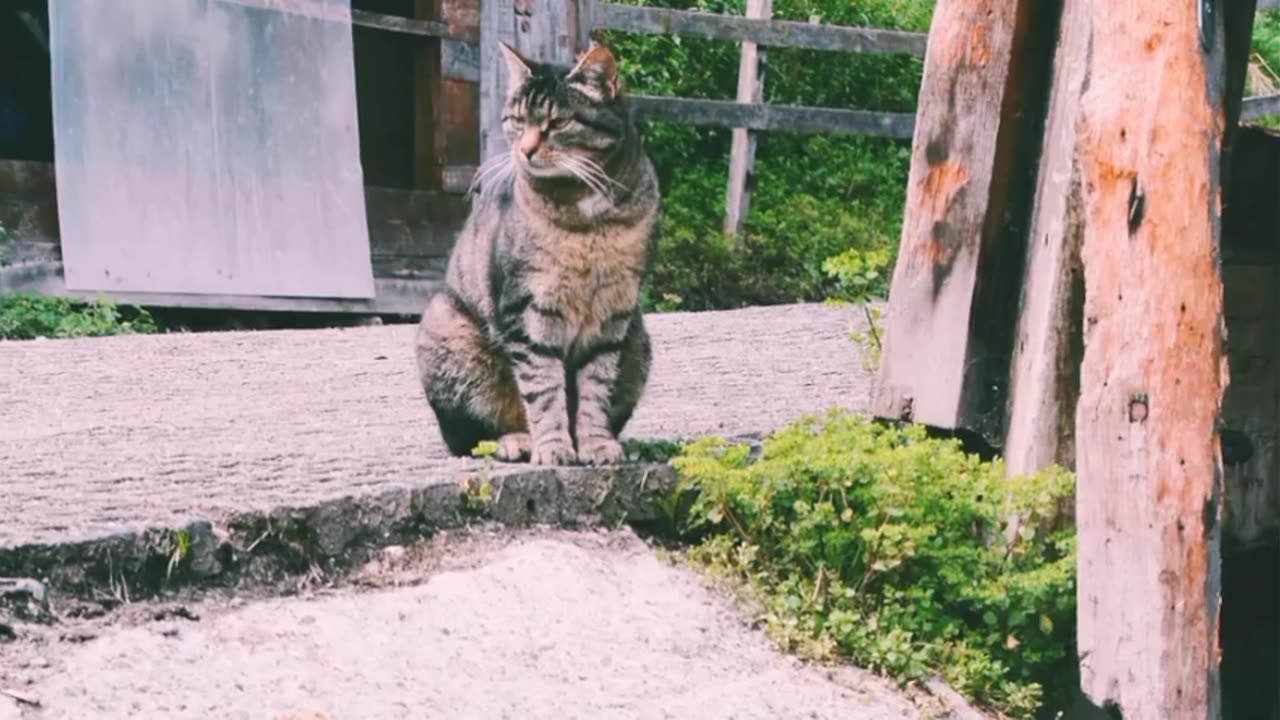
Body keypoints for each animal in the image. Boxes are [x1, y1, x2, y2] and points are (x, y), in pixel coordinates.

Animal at [414, 40, 660, 466]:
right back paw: (517, 441)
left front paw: (595, 444)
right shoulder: (528, 309)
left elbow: (595, 389)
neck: (587, 218)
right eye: (517, 120)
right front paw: (555, 447)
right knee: (468, 437)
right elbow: (543, 389)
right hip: (446, 328)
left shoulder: (614, 312)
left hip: (639, 340)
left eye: (558, 124)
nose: (526, 150)